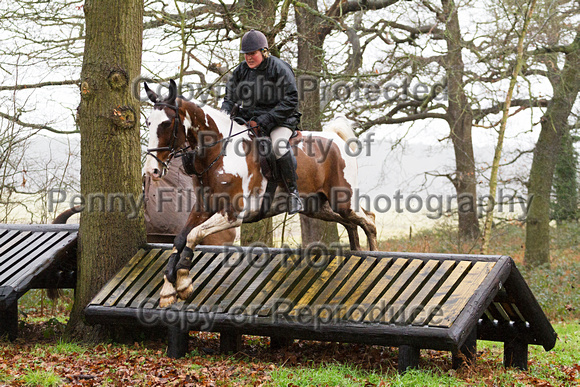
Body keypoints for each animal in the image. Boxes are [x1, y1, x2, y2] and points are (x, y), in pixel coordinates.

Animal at [145, 80, 378, 308]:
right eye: (148, 123)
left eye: (167, 124)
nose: (151, 170)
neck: (218, 153)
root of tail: (336, 139)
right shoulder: (203, 208)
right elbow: (180, 239)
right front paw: (168, 290)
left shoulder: (232, 214)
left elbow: (193, 235)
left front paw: (183, 281)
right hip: (319, 207)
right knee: (352, 224)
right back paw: (357, 256)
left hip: (343, 201)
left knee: (369, 221)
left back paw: (373, 256)